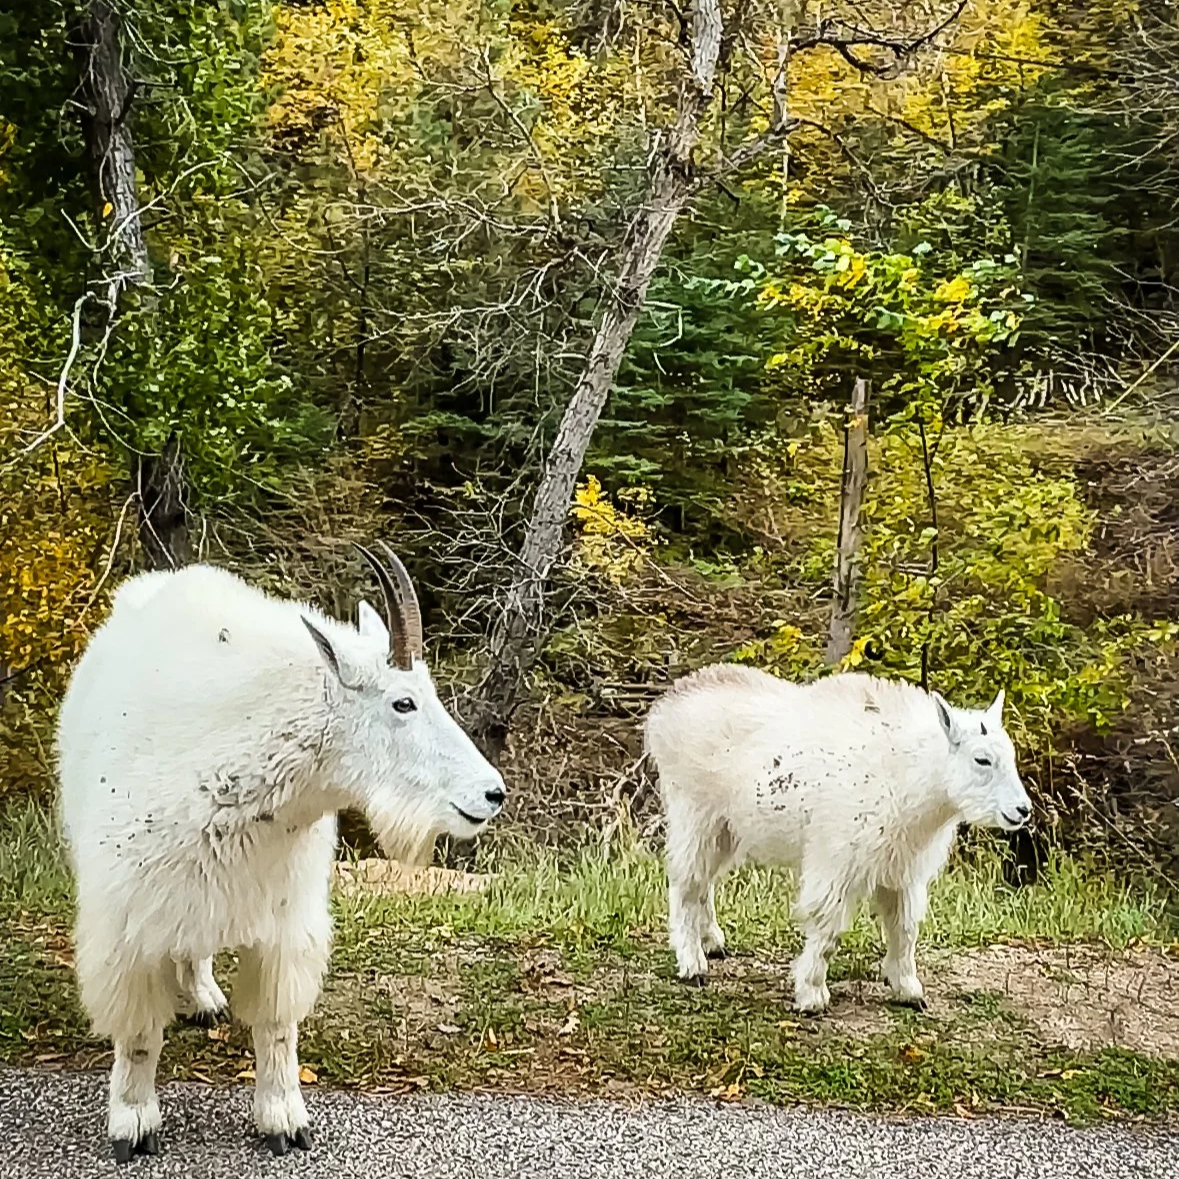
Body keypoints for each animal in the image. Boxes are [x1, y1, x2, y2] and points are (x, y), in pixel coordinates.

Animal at [57, 543, 506, 1162]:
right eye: (404, 702)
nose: (492, 794)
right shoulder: (128, 924)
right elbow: (140, 1032)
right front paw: (133, 1123)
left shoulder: (284, 920)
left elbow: (275, 1024)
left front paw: (285, 1122)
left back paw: (205, 998)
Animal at [644, 665, 1031, 1013]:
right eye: (982, 759)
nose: (1022, 810)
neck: (908, 773)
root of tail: (663, 711)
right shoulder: (836, 860)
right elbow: (827, 925)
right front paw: (812, 995)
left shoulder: (901, 868)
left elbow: (905, 928)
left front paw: (908, 990)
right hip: (694, 814)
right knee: (685, 882)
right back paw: (692, 963)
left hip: (724, 828)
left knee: (703, 882)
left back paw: (713, 942)